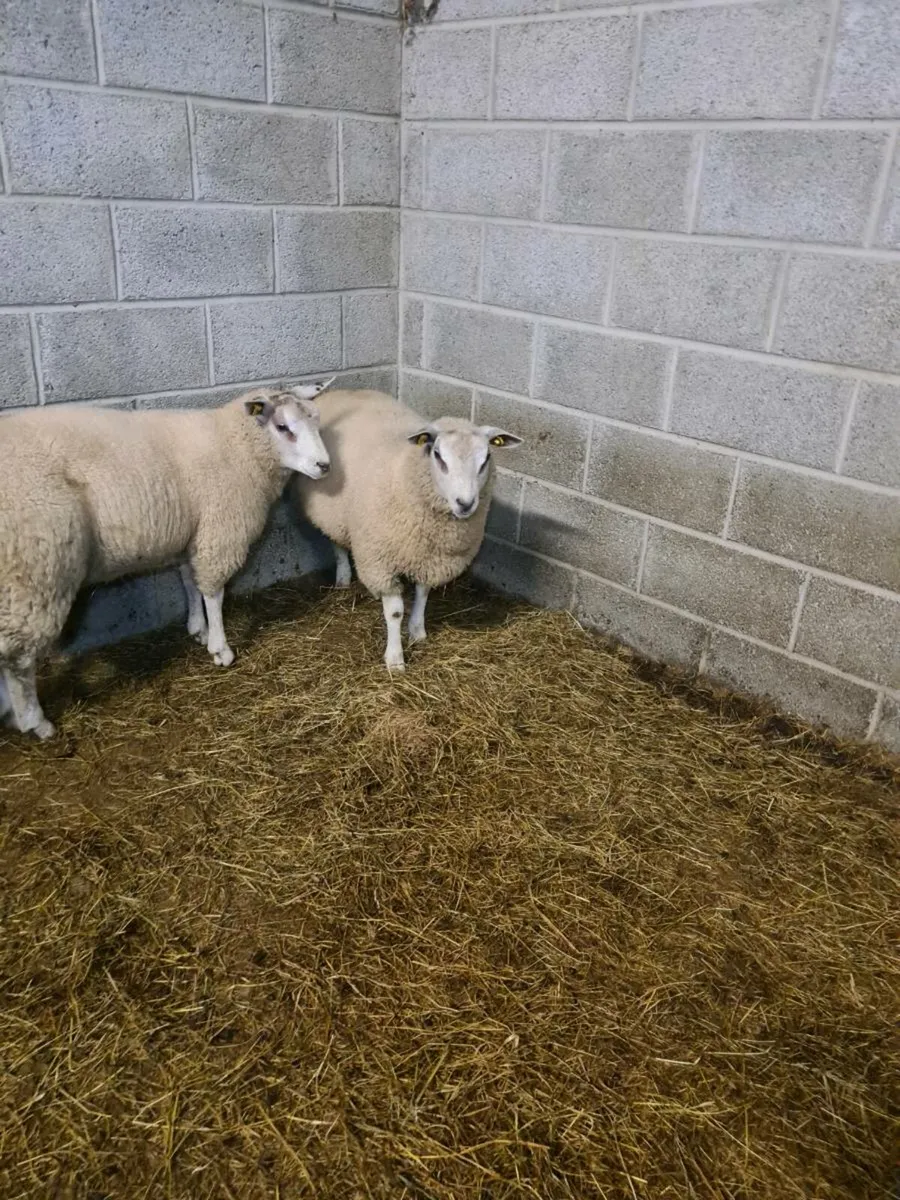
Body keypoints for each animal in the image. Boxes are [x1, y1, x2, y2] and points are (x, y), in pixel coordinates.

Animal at [0, 381, 333, 740]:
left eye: (315, 419)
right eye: (283, 427)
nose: (325, 466)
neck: (236, 445)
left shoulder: (192, 533)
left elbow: (189, 582)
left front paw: (197, 628)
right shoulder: (219, 531)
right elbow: (213, 593)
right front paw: (220, 648)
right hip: (36, 573)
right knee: (18, 660)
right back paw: (36, 722)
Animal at [291, 389, 523, 671]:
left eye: (486, 459)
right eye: (438, 455)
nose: (465, 504)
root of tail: (340, 390)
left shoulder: (430, 557)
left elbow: (423, 595)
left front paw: (417, 632)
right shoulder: (381, 561)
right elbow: (394, 612)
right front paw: (395, 659)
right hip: (328, 508)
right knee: (335, 542)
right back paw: (344, 576)